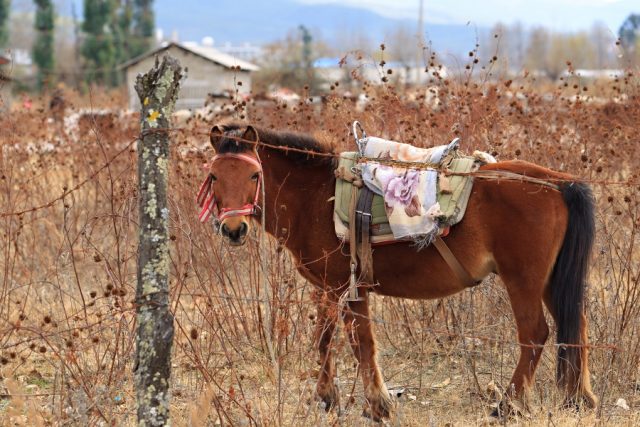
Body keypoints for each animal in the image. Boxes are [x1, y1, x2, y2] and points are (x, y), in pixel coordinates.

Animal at [202, 122, 596, 420]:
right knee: (575, 326)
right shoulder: (328, 288)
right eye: (214, 176)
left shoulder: (348, 287)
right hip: (550, 282)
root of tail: (559, 182)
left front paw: (379, 405)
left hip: (523, 281)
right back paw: (579, 399)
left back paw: (508, 404)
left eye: (254, 175)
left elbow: (361, 343)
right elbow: (325, 339)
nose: (233, 229)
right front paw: (327, 397)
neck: (315, 198)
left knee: (535, 334)